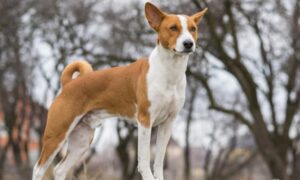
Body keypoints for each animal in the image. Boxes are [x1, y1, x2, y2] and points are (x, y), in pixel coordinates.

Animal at [32, 2, 206, 180]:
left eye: (193, 29)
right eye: (173, 28)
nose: (188, 43)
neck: (169, 72)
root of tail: (68, 83)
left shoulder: (168, 122)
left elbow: (158, 162)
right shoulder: (145, 120)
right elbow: (144, 160)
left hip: (82, 140)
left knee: (59, 169)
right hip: (57, 135)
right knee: (38, 168)